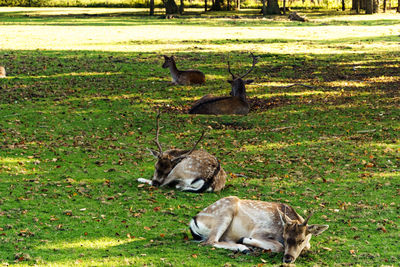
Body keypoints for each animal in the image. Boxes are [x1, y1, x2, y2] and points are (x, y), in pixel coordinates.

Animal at [189, 196, 330, 264]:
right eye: (284, 237)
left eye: (301, 240)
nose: (288, 259)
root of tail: (193, 221)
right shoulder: (259, 231)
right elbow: (278, 246)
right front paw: (245, 240)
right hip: (225, 212)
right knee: (210, 241)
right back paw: (244, 248)